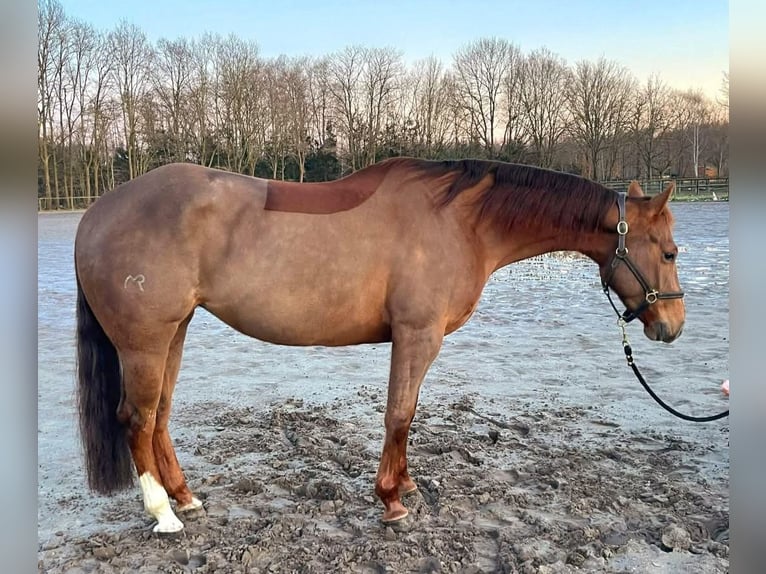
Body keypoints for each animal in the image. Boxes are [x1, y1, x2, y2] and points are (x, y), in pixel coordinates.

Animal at [73, 158, 684, 536]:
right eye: (670, 251)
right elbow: (399, 413)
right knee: (135, 419)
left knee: (159, 416)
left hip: (173, 333)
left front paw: (405, 484)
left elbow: (406, 415)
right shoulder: (417, 335)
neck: (462, 223)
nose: (672, 326)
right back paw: (163, 514)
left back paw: (186, 497)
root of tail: (96, 212)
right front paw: (391, 499)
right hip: (146, 342)